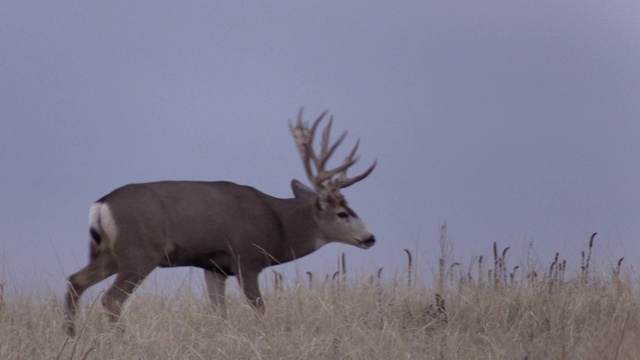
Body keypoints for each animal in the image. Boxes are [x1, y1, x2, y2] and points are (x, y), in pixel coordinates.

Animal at [61, 107, 376, 338]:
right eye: (343, 213)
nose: (370, 237)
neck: (279, 225)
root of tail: (100, 205)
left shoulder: (214, 266)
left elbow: (218, 311)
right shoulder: (247, 257)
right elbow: (259, 308)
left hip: (110, 253)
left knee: (76, 280)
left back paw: (72, 335)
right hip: (139, 253)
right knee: (111, 298)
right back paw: (122, 338)